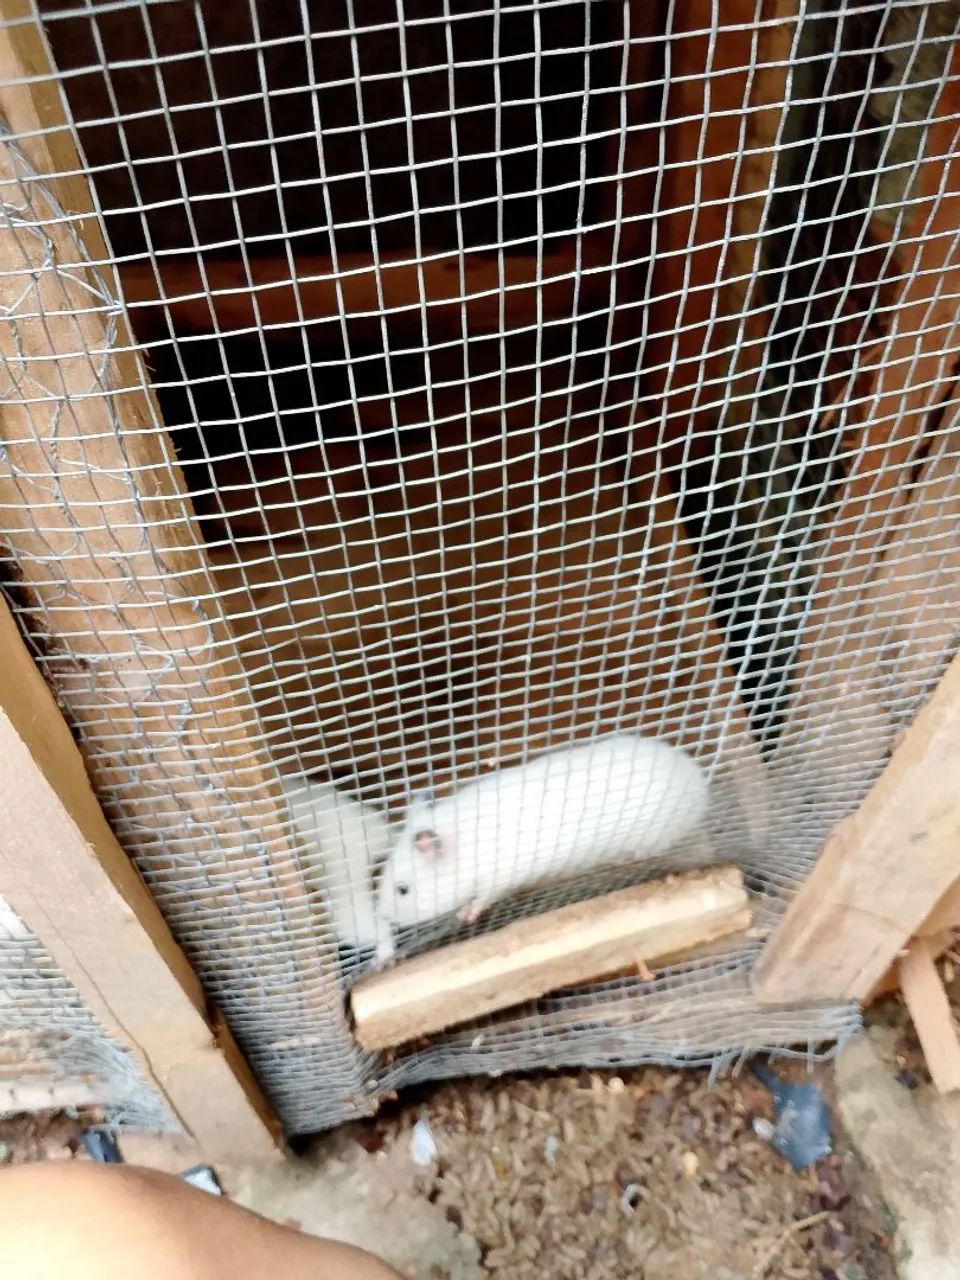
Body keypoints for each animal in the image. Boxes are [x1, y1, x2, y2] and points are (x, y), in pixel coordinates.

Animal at [376, 734, 708, 948]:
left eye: (402, 890)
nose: (386, 918)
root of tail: (698, 781)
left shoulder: (499, 877)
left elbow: (484, 898)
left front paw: (466, 913)